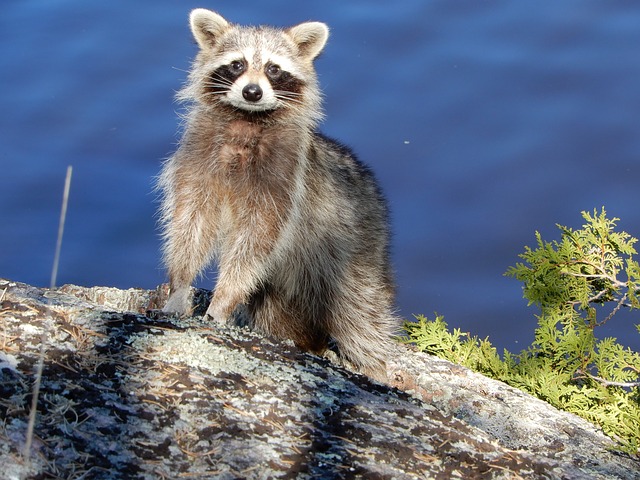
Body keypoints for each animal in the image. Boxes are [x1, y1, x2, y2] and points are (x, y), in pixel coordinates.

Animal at [158, 9, 398, 380]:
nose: (252, 92)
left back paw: (374, 368)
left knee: (361, 316)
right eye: (237, 64)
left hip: (354, 253)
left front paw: (223, 299)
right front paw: (180, 285)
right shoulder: (198, 163)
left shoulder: (284, 181)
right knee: (278, 319)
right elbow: (190, 224)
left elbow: (256, 240)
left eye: (274, 69)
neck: (247, 119)